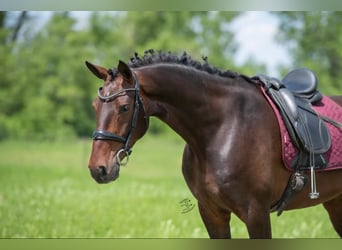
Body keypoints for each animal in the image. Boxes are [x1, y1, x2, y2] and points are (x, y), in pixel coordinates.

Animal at [86, 50, 342, 238]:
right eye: (94, 106)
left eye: (124, 107)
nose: (98, 169)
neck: (222, 128)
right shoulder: (212, 212)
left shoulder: (256, 213)